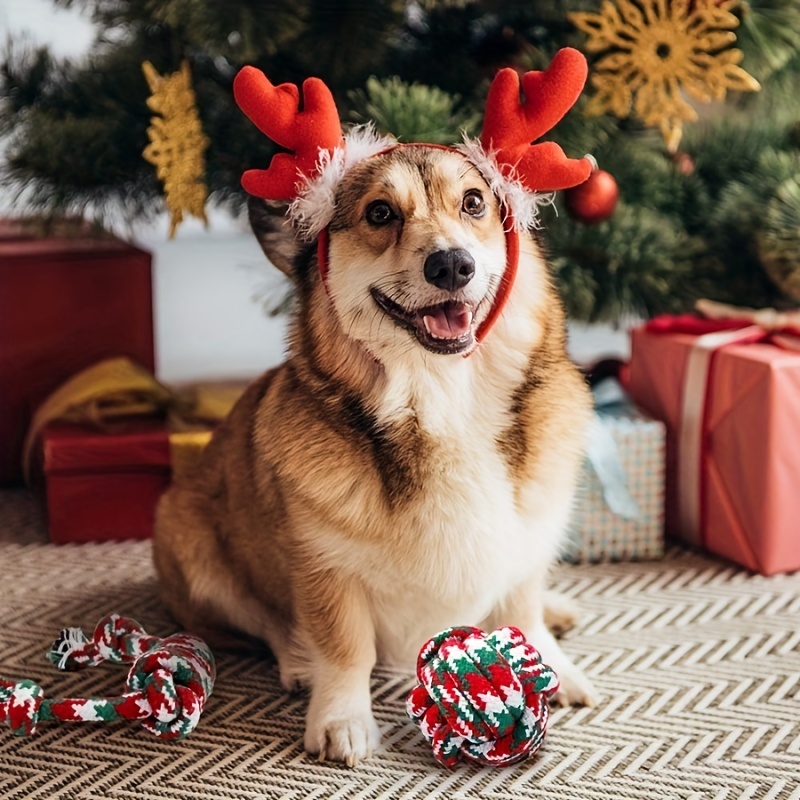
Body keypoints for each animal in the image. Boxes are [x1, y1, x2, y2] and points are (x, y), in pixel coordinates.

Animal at [152, 48, 600, 764]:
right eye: (381, 214)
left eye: (475, 202)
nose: (452, 265)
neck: (443, 399)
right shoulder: (323, 568)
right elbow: (344, 649)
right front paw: (341, 718)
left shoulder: (527, 542)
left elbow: (523, 610)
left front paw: (554, 660)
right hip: (191, 546)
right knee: (263, 622)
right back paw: (296, 661)